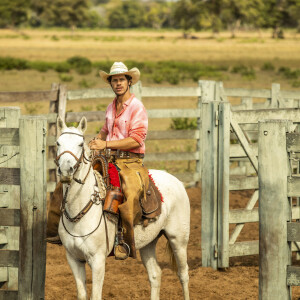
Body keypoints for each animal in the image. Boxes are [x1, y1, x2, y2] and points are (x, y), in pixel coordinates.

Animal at [55, 116, 191, 298]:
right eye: (58, 143)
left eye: (80, 143)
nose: (65, 170)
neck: (79, 212)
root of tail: (177, 182)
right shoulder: (73, 259)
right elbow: (82, 295)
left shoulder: (97, 261)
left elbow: (95, 296)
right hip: (148, 243)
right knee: (155, 274)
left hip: (179, 239)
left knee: (183, 274)